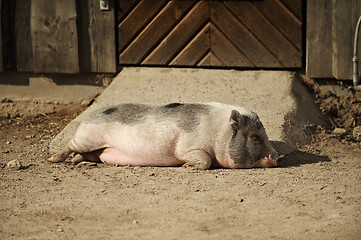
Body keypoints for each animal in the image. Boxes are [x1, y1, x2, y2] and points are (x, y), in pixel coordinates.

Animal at [47, 101, 278, 169]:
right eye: (255, 137)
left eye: (264, 133)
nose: (277, 156)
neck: (219, 134)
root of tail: (88, 116)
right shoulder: (187, 146)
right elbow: (204, 160)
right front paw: (186, 166)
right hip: (86, 138)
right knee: (69, 145)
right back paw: (53, 159)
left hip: (94, 146)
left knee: (84, 154)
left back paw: (79, 162)